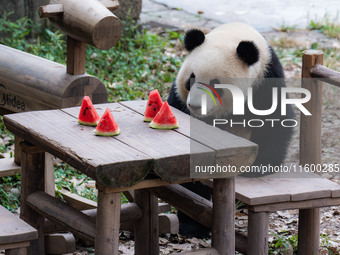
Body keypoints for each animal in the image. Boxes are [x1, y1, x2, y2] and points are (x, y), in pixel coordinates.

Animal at [167, 22, 294, 238]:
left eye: (215, 83)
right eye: (191, 79)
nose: (195, 106)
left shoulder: (266, 82)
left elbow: (276, 124)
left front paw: (256, 168)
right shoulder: (180, 101)